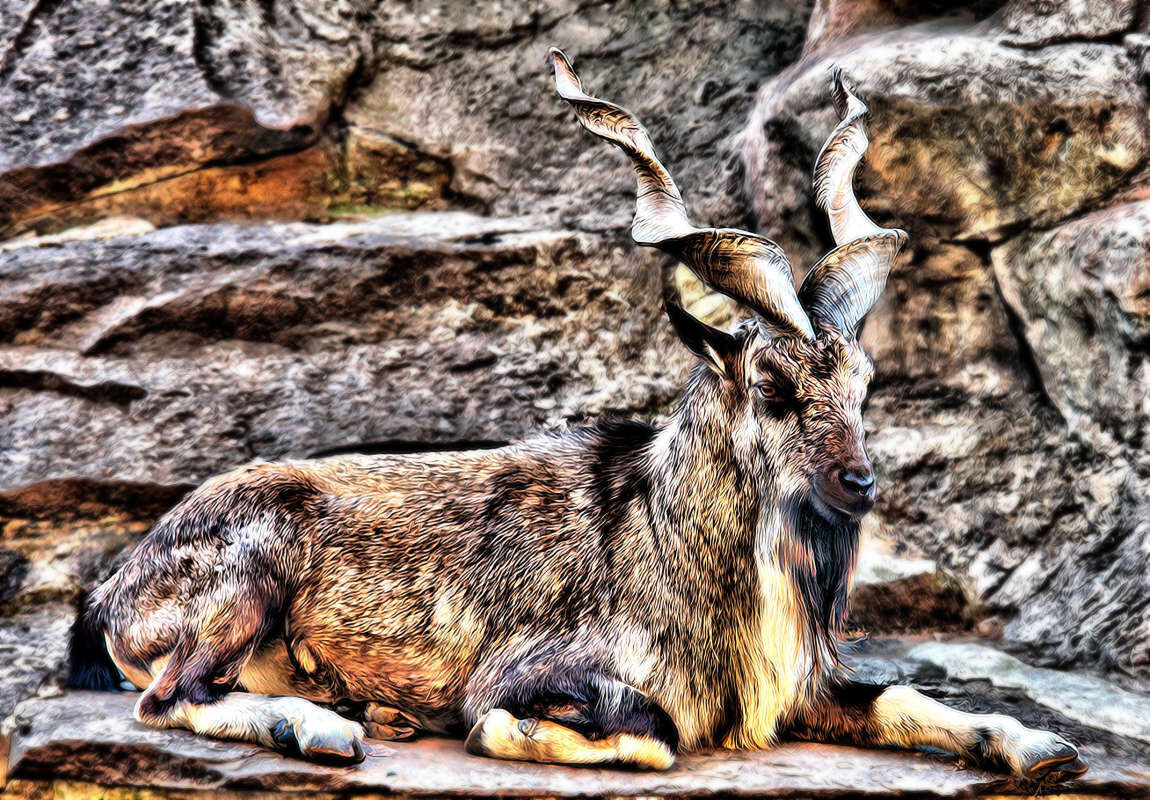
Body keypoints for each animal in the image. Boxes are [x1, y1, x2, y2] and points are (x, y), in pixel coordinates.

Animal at [71, 51, 1085, 781]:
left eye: (865, 384)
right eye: (771, 385)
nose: (859, 482)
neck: (667, 537)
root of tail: (113, 591)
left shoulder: (802, 688)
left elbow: (905, 700)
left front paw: (1041, 748)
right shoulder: (542, 669)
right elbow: (647, 731)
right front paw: (490, 730)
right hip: (249, 578)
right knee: (168, 698)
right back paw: (323, 726)